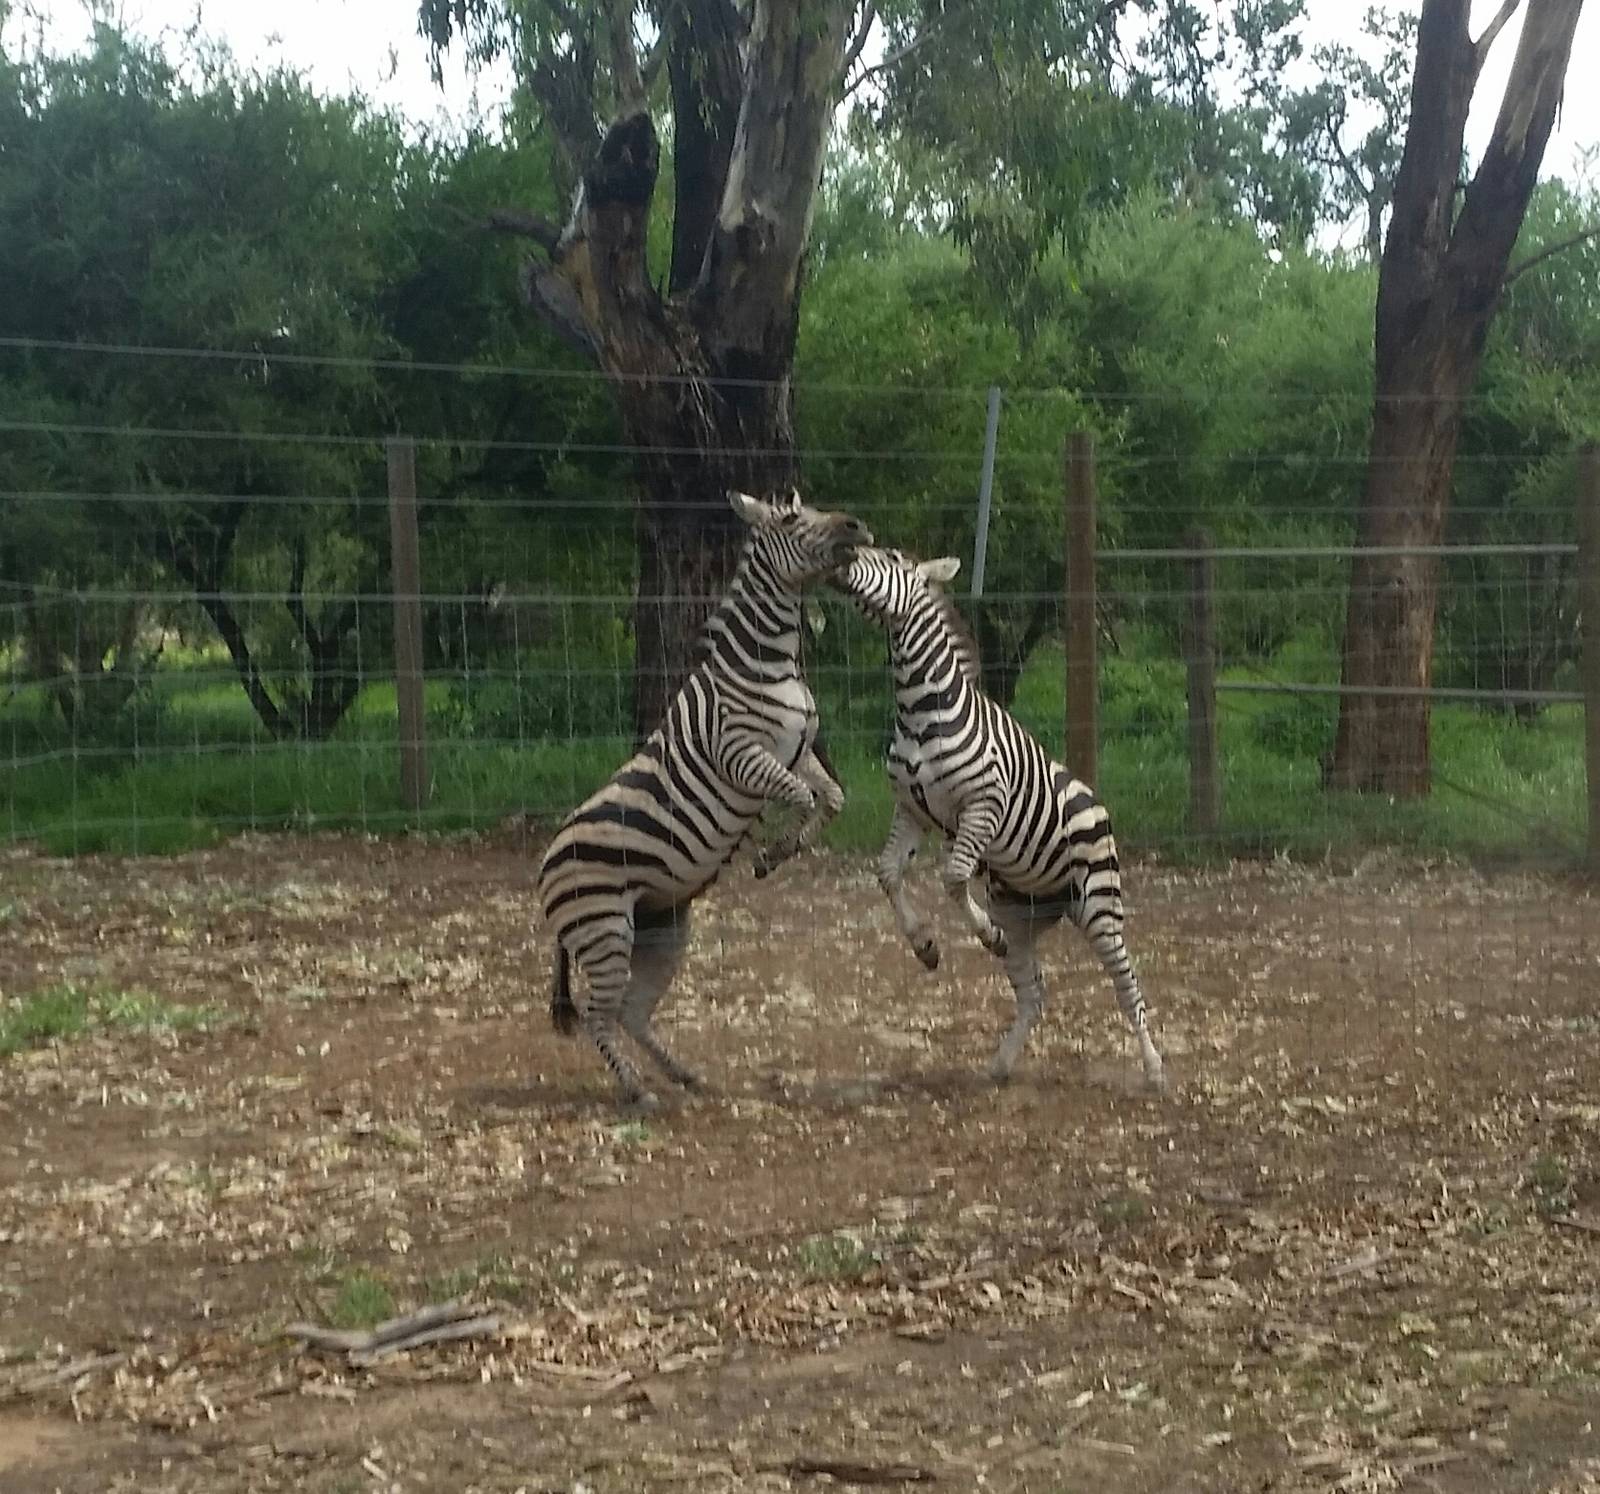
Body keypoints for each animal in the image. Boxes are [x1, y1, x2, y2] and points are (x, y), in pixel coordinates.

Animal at [539, 488, 872, 1111]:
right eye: (792, 518)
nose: (857, 525)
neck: (769, 663)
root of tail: (543, 868)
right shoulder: (742, 754)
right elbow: (800, 798)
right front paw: (771, 852)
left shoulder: (800, 750)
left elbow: (833, 798)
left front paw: (784, 849)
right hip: (604, 929)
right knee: (600, 1015)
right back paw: (637, 1092)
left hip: (661, 928)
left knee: (632, 1011)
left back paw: (685, 1076)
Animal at [831, 545, 1167, 1093]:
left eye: (891, 558)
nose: (844, 551)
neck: (919, 710)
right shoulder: (911, 809)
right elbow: (887, 873)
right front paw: (925, 945)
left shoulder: (981, 807)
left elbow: (952, 876)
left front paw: (982, 934)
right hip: (1022, 912)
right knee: (1034, 993)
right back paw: (1001, 1065)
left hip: (1100, 906)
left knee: (1127, 985)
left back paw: (1155, 1069)